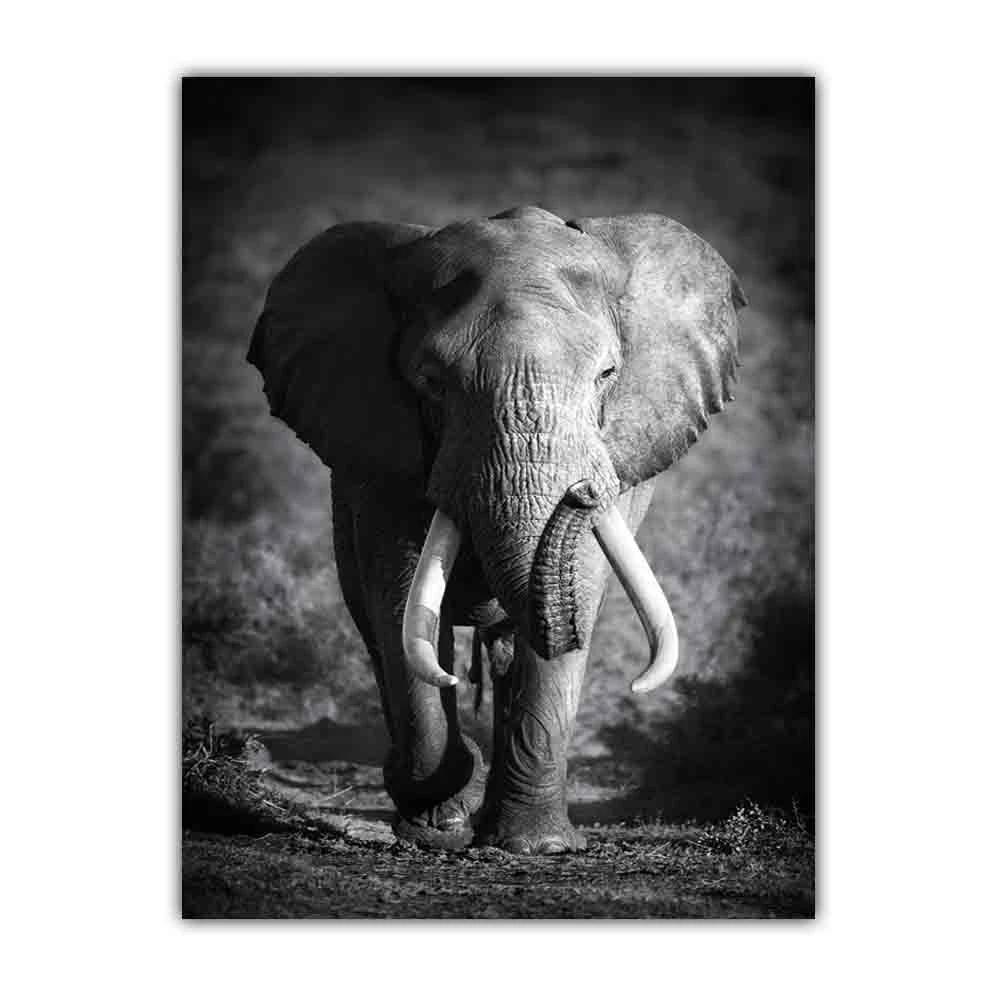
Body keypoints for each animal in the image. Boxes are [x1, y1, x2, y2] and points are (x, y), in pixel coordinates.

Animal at [247, 205, 747, 854]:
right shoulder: (382, 453)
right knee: (376, 628)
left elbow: (579, 588)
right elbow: (400, 600)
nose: (583, 492)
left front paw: (536, 847)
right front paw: (436, 828)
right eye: (431, 381)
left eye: (607, 374)